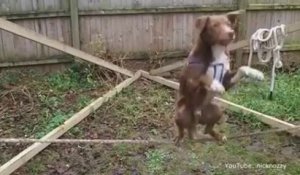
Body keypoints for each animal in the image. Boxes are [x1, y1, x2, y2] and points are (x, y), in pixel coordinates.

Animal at [173, 13, 264, 146]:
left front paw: (255, 73)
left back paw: (218, 136)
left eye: (229, 24)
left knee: (207, 129)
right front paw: (216, 85)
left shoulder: (227, 79)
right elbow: (204, 77)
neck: (217, 51)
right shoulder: (190, 81)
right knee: (181, 129)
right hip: (181, 112)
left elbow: (241, 68)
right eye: (215, 25)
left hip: (216, 110)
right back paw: (179, 138)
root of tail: (195, 120)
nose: (231, 32)